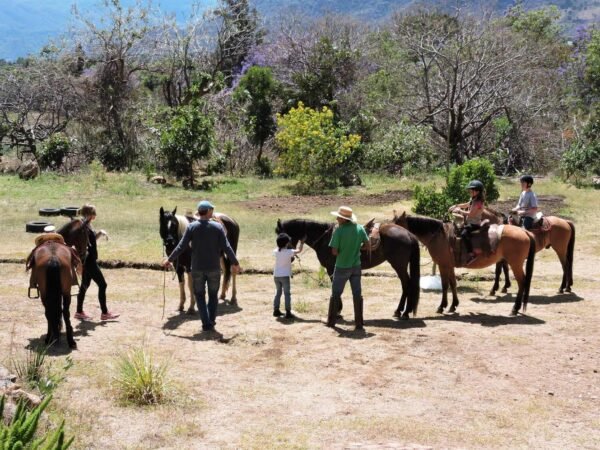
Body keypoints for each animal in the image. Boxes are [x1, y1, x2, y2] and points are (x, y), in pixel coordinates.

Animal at [274, 219, 420, 318]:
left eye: (283, 236)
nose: (290, 258)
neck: (325, 239)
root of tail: (409, 234)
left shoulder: (331, 269)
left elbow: (336, 287)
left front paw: (337, 310)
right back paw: (403, 311)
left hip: (399, 265)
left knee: (406, 284)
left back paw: (402, 312)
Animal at [394, 211, 536, 316]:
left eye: (397, 223)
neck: (439, 236)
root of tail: (524, 231)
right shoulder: (449, 266)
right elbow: (453, 284)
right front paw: (453, 305)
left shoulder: (443, 265)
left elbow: (445, 285)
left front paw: (442, 306)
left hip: (515, 264)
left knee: (522, 282)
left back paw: (515, 308)